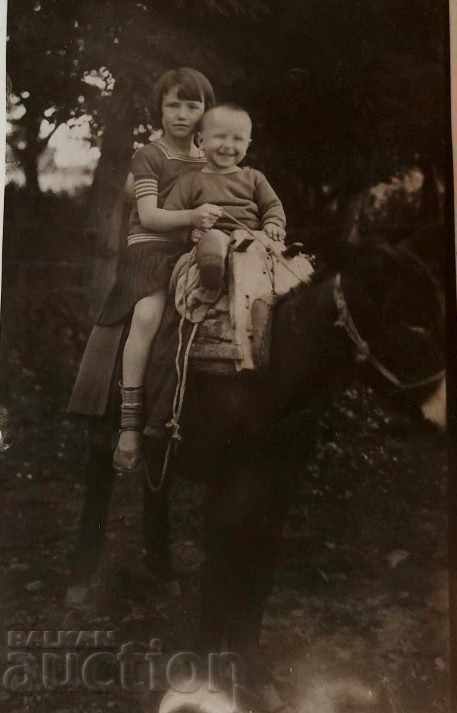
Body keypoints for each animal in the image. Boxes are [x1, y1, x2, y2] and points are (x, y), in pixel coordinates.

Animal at [66, 239, 444, 688]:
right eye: (414, 326)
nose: (444, 412)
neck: (276, 365)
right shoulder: (229, 487)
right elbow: (220, 573)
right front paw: (207, 667)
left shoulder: (278, 482)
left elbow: (258, 569)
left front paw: (251, 663)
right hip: (102, 419)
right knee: (99, 476)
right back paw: (83, 579)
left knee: (155, 484)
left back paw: (162, 570)